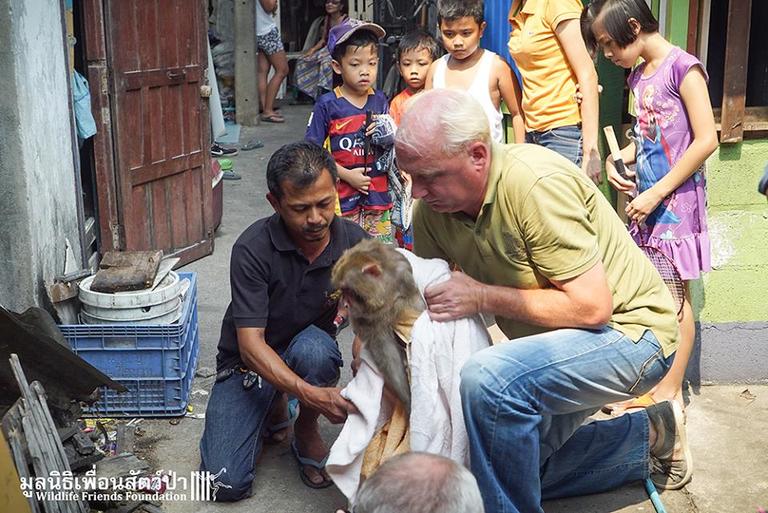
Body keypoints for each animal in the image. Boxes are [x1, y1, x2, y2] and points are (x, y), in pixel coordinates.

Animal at [332, 239, 426, 412]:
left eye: (349, 291)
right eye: (343, 290)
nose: (346, 304)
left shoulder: (404, 277)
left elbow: (413, 303)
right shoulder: (368, 318)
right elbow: (384, 349)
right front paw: (408, 400)